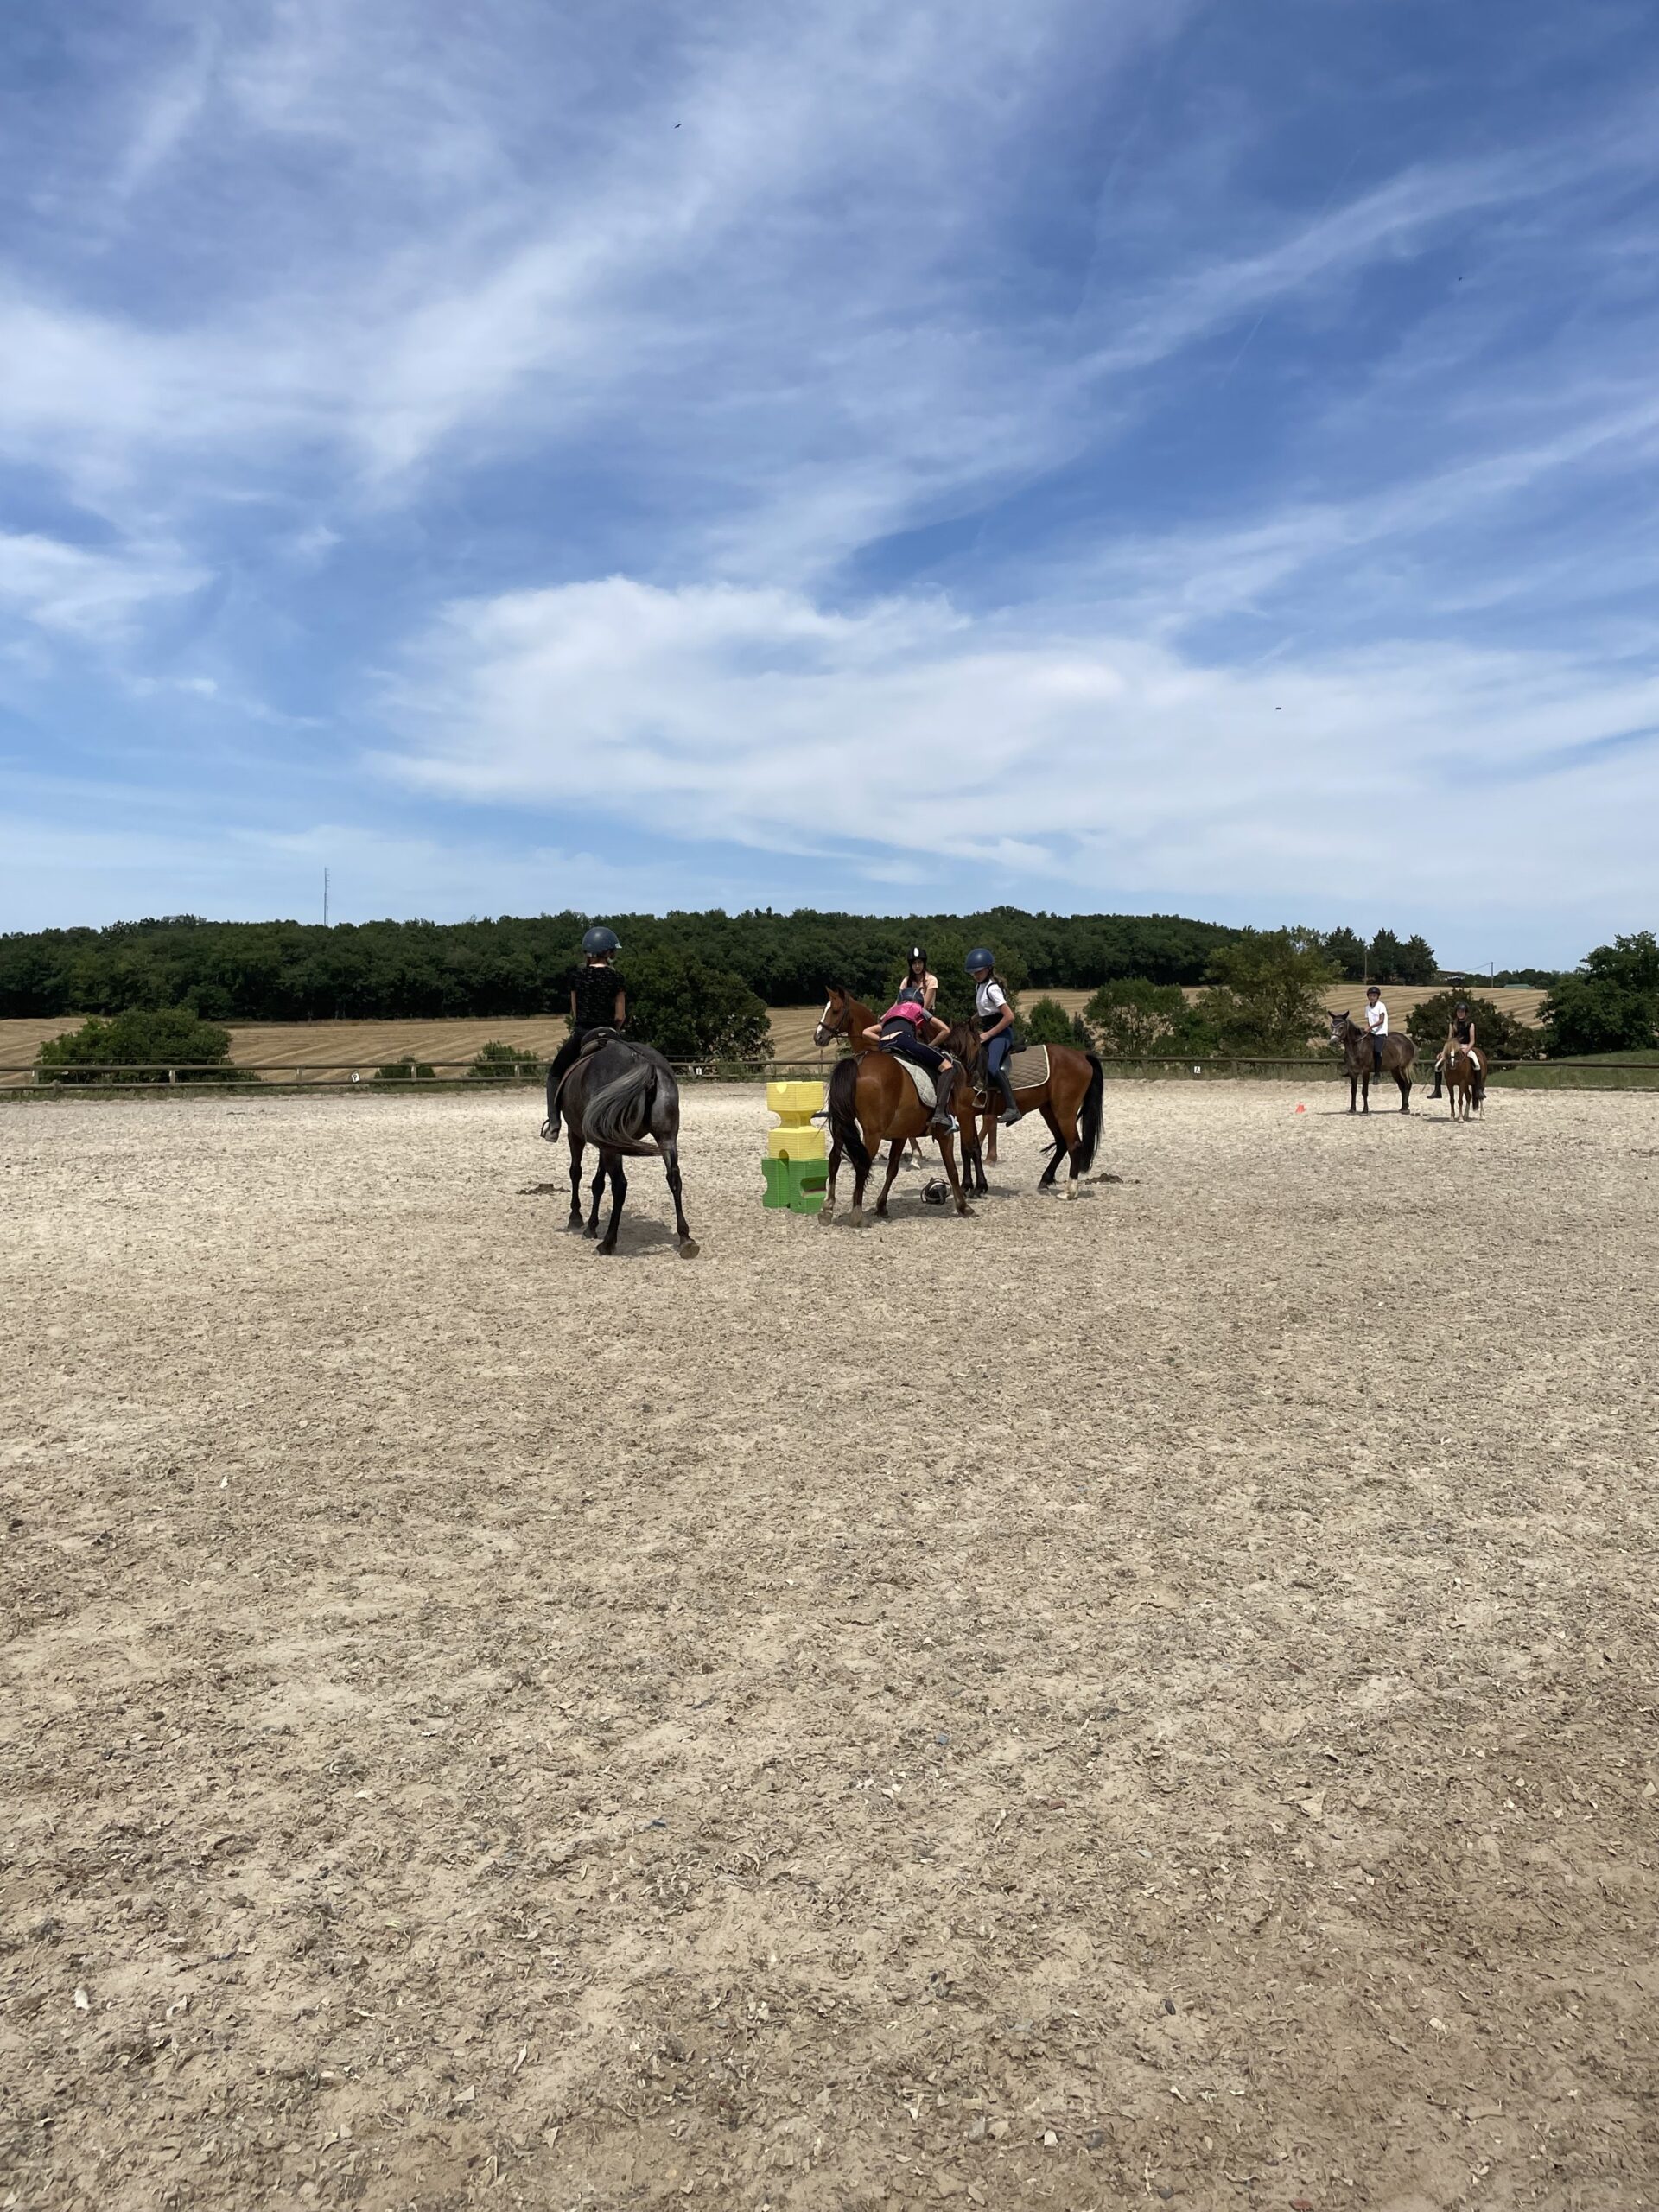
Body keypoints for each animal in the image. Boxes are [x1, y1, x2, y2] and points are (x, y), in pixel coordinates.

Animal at [542, 1035, 698, 1258]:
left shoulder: (576, 1135)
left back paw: (608, 1243)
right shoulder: (605, 1143)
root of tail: (642, 1062)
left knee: (620, 1185)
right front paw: (591, 1227)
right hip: (666, 1138)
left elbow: (576, 1172)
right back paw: (685, 1239)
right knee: (674, 1178)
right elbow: (598, 1182)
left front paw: (576, 1218)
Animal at [812, 988, 975, 1224]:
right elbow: (951, 1168)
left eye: (834, 1010)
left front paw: (881, 1205)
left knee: (834, 1159)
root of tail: (858, 1062)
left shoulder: (900, 1133)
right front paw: (963, 1206)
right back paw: (857, 1213)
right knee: (861, 1163)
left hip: (844, 1124)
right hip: (872, 1132)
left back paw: (828, 1208)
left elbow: (892, 1169)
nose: (818, 1037)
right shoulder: (944, 1133)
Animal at [962, 1035, 1105, 1201]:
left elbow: (967, 1149)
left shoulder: (964, 1113)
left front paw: (970, 1187)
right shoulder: (964, 1115)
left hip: (1064, 1112)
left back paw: (1069, 1191)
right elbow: (969, 1148)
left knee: (1074, 1145)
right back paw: (1045, 1181)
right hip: (1049, 1110)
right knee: (1062, 1143)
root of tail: (1081, 1055)